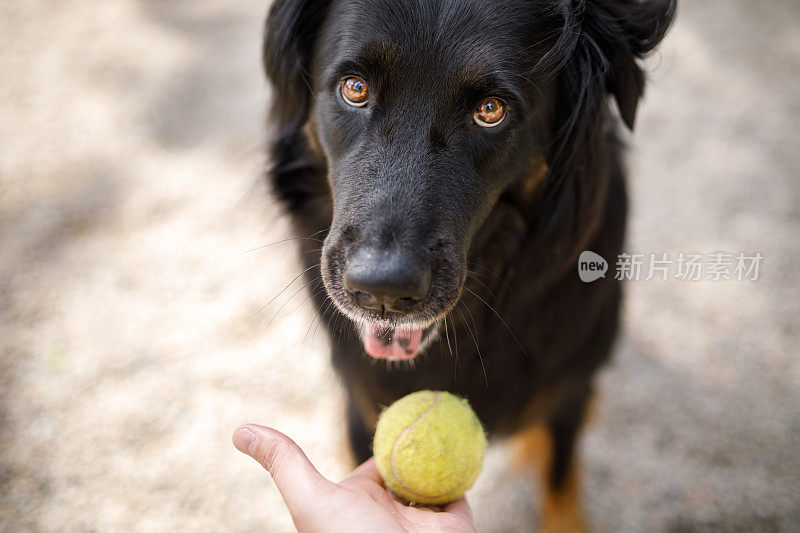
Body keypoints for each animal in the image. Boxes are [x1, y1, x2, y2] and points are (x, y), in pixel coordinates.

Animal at [264, 0, 676, 528]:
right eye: (354, 88)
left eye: (491, 111)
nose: (381, 291)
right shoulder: (361, 399)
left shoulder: (569, 387)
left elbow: (560, 477)